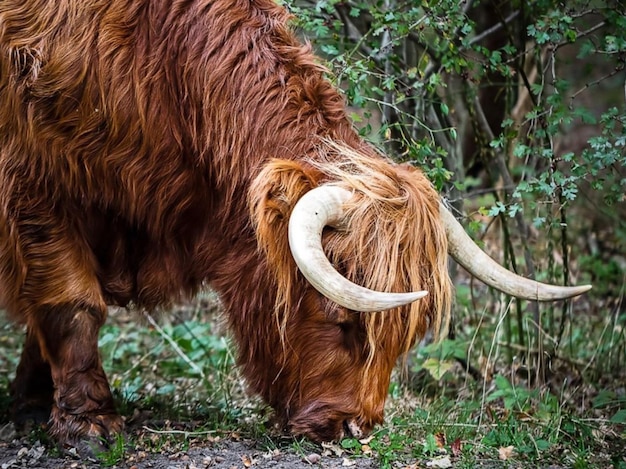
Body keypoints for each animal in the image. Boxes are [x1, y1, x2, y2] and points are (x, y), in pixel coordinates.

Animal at [0, 0, 588, 446]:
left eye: (408, 333)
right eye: (342, 320)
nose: (356, 428)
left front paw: (31, 402)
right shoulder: (35, 185)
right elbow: (72, 304)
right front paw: (88, 423)